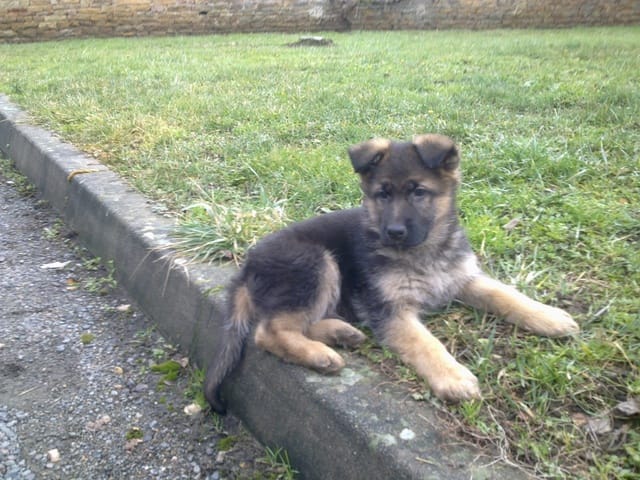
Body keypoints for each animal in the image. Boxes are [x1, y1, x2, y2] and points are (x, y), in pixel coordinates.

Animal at [204, 134, 579, 414]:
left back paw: (341, 333)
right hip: (315, 263)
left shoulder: (462, 277)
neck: (425, 252)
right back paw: (321, 354)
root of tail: (247, 266)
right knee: (269, 332)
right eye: (382, 194)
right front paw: (453, 377)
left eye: (419, 192)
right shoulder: (390, 308)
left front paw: (548, 316)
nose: (395, 232)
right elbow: (425, 342)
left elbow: (504, 294)